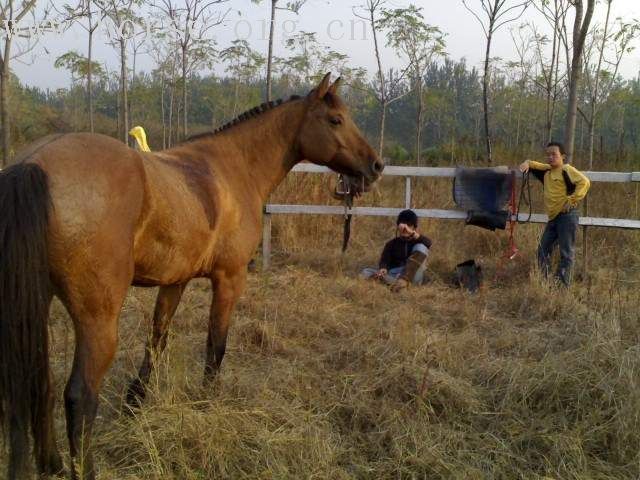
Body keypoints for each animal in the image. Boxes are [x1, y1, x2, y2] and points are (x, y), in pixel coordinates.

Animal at [0, 73, 382, 478]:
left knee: (35, 383)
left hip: (35, 306)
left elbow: (157, 339)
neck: (234, 168)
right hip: (96, 318)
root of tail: (33, 164)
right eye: (335, 120)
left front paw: (136, 401)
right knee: (79, 396)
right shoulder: (229, 280)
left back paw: (51, 463)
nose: (376, 166)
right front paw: (206, 401)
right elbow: (216, 344)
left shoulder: (175, 281)